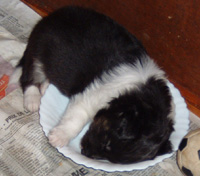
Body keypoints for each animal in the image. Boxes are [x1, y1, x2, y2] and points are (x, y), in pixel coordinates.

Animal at [12, 6, 175, 164]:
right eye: (107, 142)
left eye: (111, 159)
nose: (85, 153)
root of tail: (49, 17)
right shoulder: (90, 97)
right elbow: (75, 118)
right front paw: (58, 137)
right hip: (38, 52)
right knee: (28, 76)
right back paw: (33, 99)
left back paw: (45, 86)